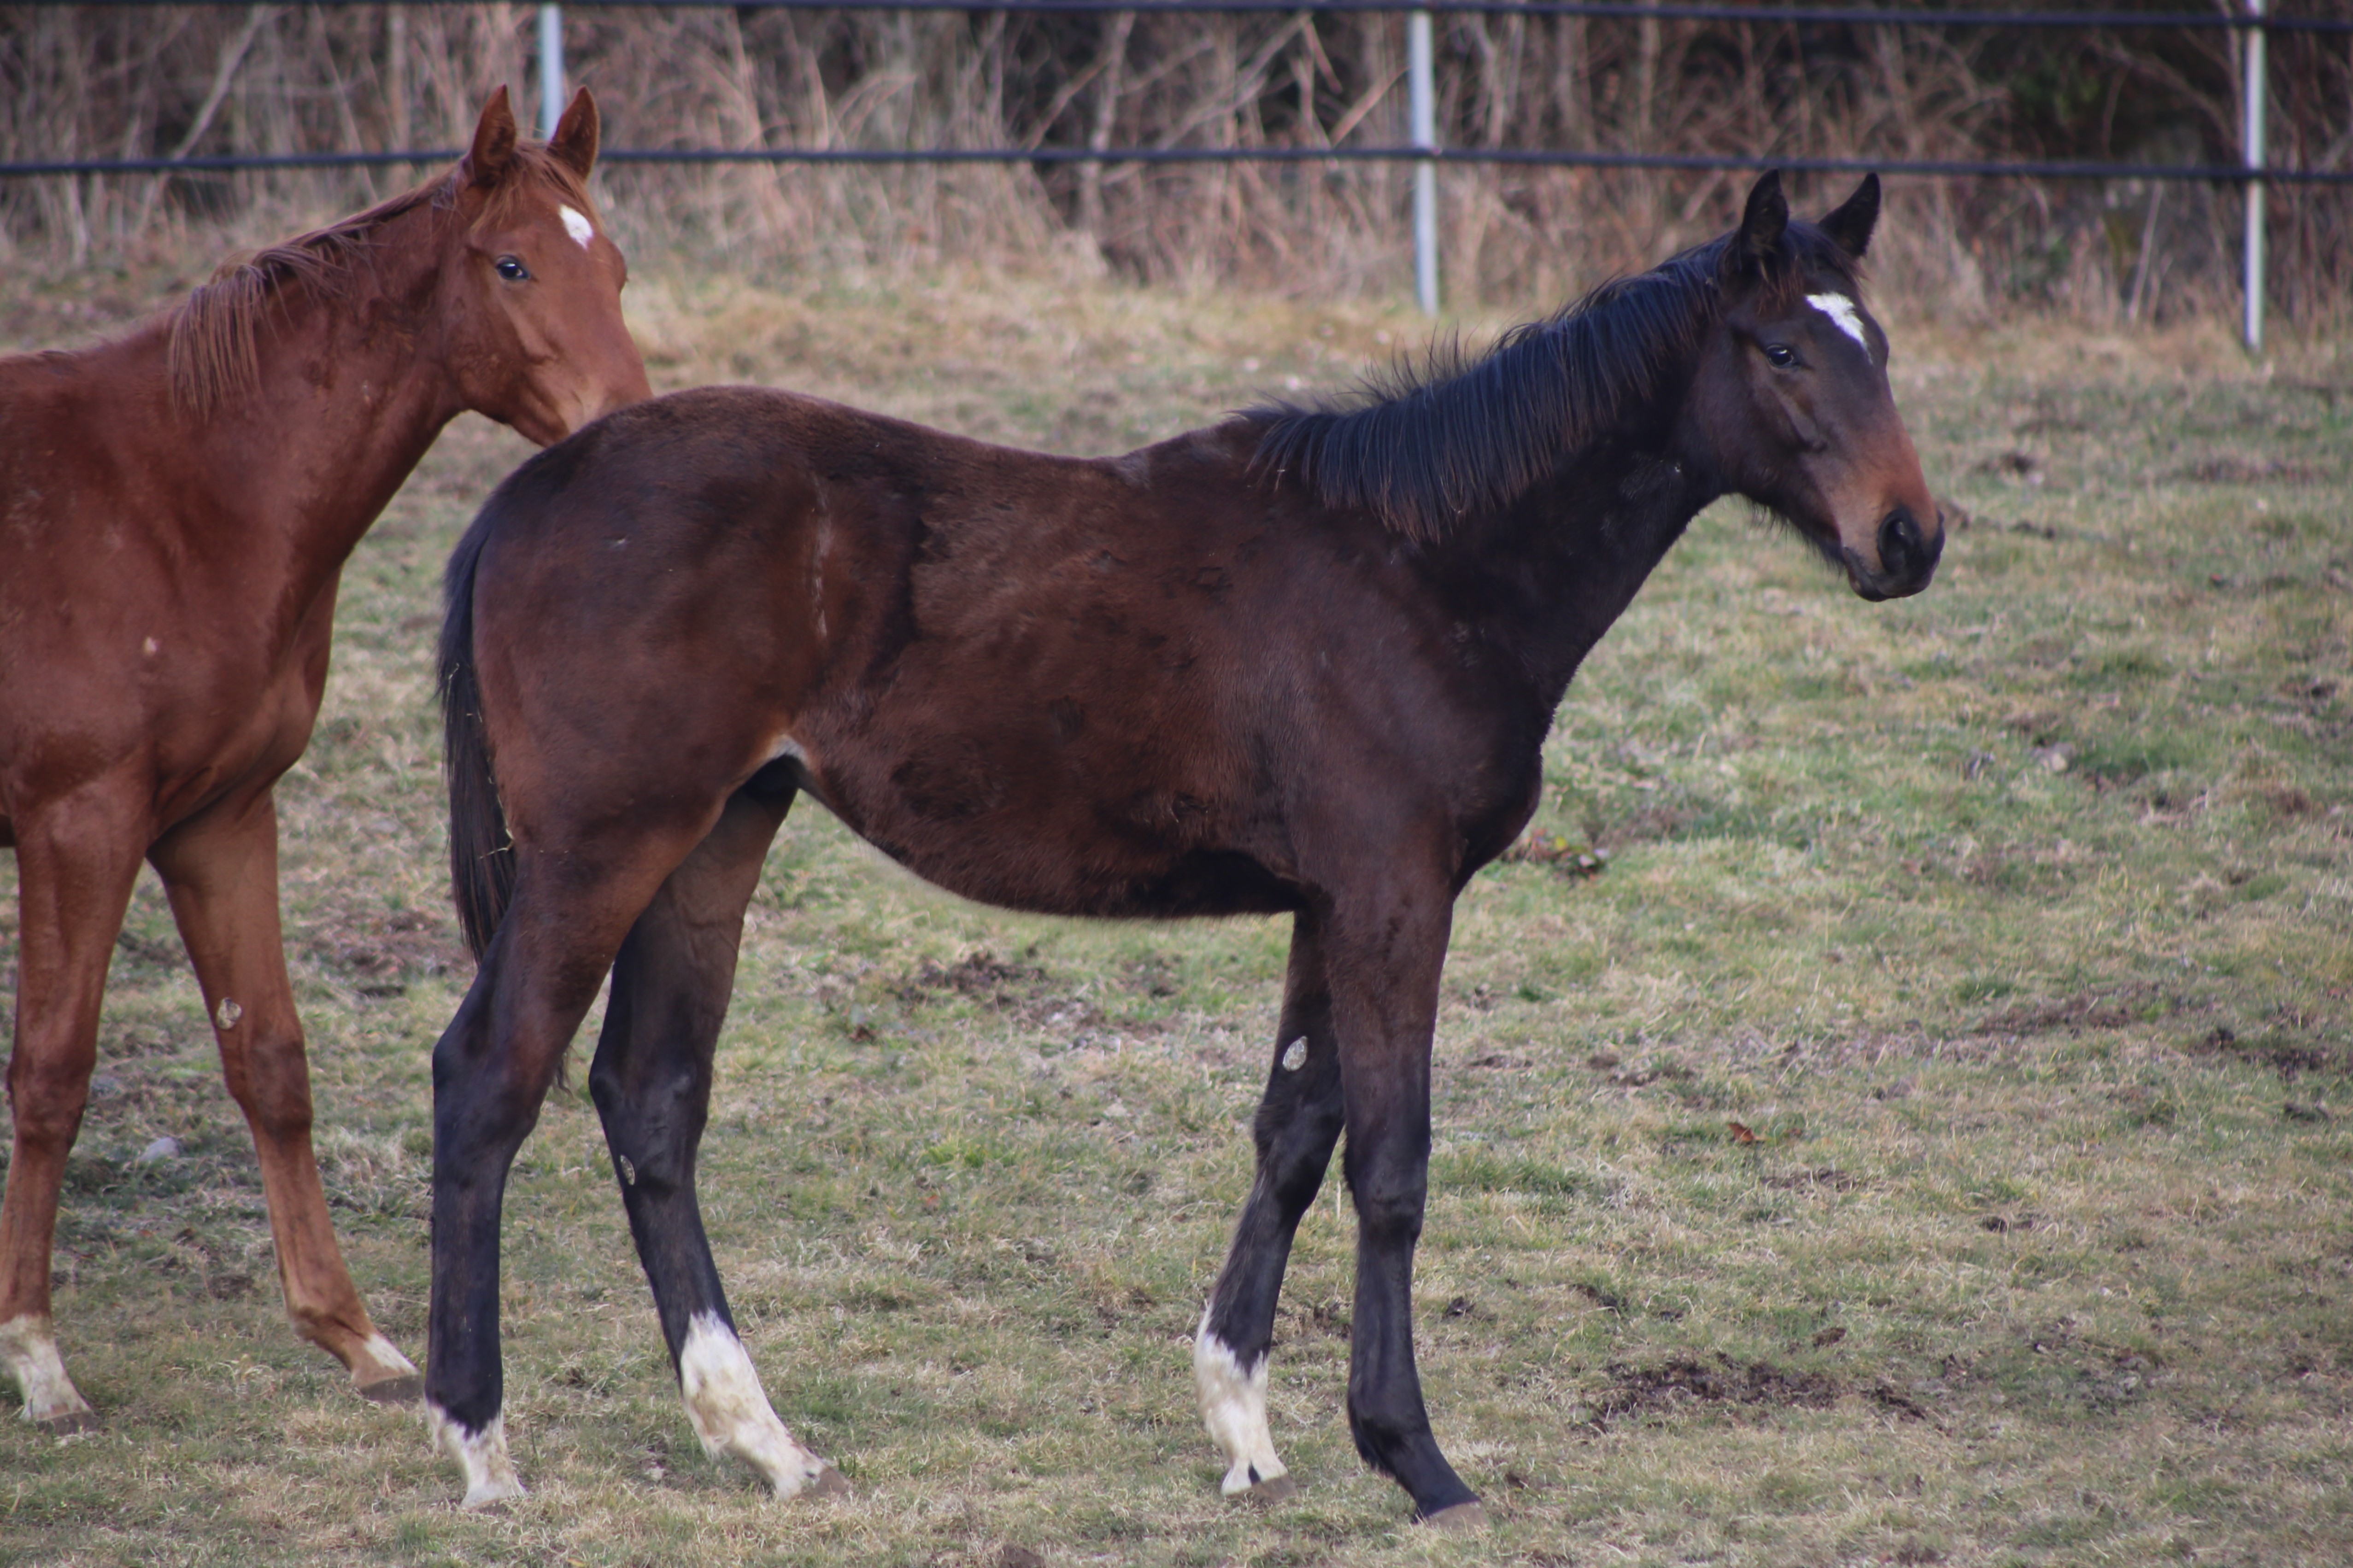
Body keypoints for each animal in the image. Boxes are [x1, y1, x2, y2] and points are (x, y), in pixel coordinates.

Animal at [423, 171, 1929, 1523]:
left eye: (1881, 344)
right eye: (1783, 350)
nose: (1908, 537)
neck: (1419, 567)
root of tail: (527, 496)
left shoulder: (1332, 901)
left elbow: (1296, 1134)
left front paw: (1246, 1431)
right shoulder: (1393, 893)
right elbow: (1390, 1166)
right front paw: (1416, 1459)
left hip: (717, 836)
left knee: (649, 1099)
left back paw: (764, 1441)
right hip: (603, 848)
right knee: (491, 1076)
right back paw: (480, 1447)